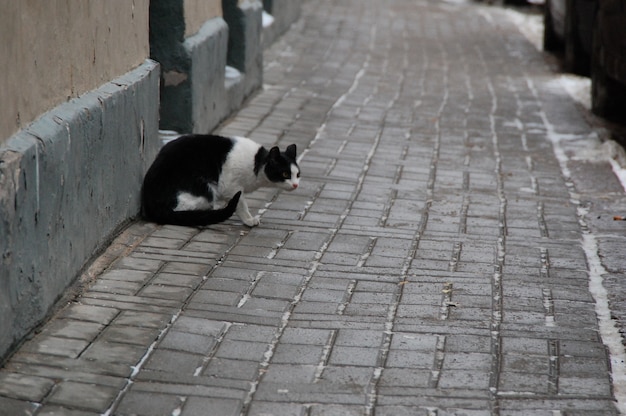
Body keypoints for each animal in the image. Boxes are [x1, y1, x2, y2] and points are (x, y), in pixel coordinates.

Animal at [141, 135, 300, 228]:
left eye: (297, 174)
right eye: (285, 174)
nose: (296, 185)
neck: (256, 162)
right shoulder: (230, 186)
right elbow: (241, 204)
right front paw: (248, 219)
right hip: (205, 188)